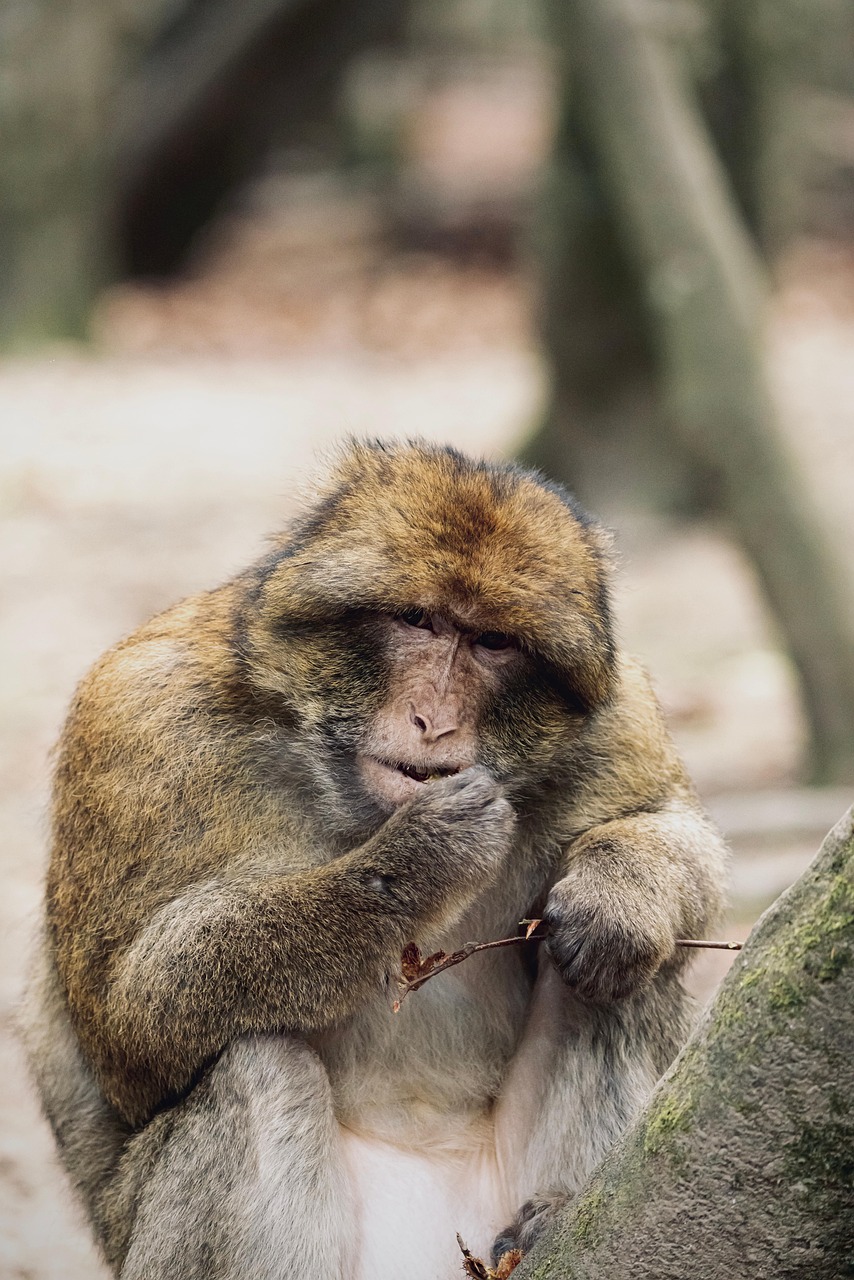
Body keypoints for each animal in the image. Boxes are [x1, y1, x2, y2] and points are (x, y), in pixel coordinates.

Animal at [22, 439, 728, 1280]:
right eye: (416, 621)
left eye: (492, 642)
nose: (434, 720)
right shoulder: (137, 720)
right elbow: (128, 1026)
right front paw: (418, 861)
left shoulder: (620, 715)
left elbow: (676, 838)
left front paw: (617, 896)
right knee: (256, 1067)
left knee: (622, 979)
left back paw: (547, 1219)